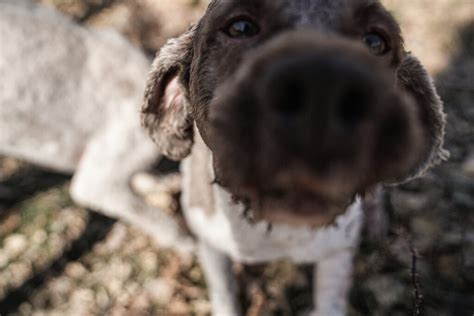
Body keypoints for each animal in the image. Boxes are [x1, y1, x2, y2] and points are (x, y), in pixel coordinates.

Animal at [141, 0, 448, 314]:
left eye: (375, 42)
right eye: (240, 27)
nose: (324, 87)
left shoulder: (336, 254)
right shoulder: (211, 245)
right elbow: (224, 293)